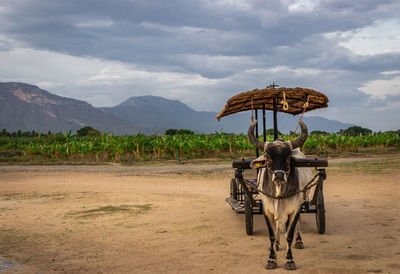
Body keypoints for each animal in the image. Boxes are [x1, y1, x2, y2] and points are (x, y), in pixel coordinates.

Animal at [247, 119, 312, 270]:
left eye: (288, 158)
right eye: (268, 158)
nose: (279, 175)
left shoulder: (295, 209)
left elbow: (289, 234)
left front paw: (289, 260)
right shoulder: (267, 210)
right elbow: (271, 234)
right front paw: (271, 259)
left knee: (297, 224)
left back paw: (299, 241)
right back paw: (277, 244)